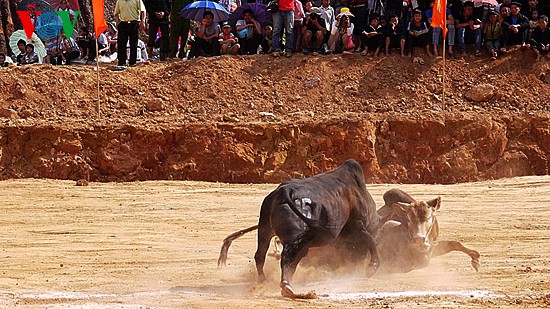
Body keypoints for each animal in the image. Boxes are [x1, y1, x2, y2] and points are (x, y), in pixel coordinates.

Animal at [216, 160, 384, 298]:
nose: (354, 264)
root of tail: (283, 192)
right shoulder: (356, 227)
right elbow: (370, 240)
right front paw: (372, 267)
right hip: (295, 238)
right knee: (286, 257)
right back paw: (287, 287)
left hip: (265, 229)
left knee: (262, 255)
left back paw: (265, 281)